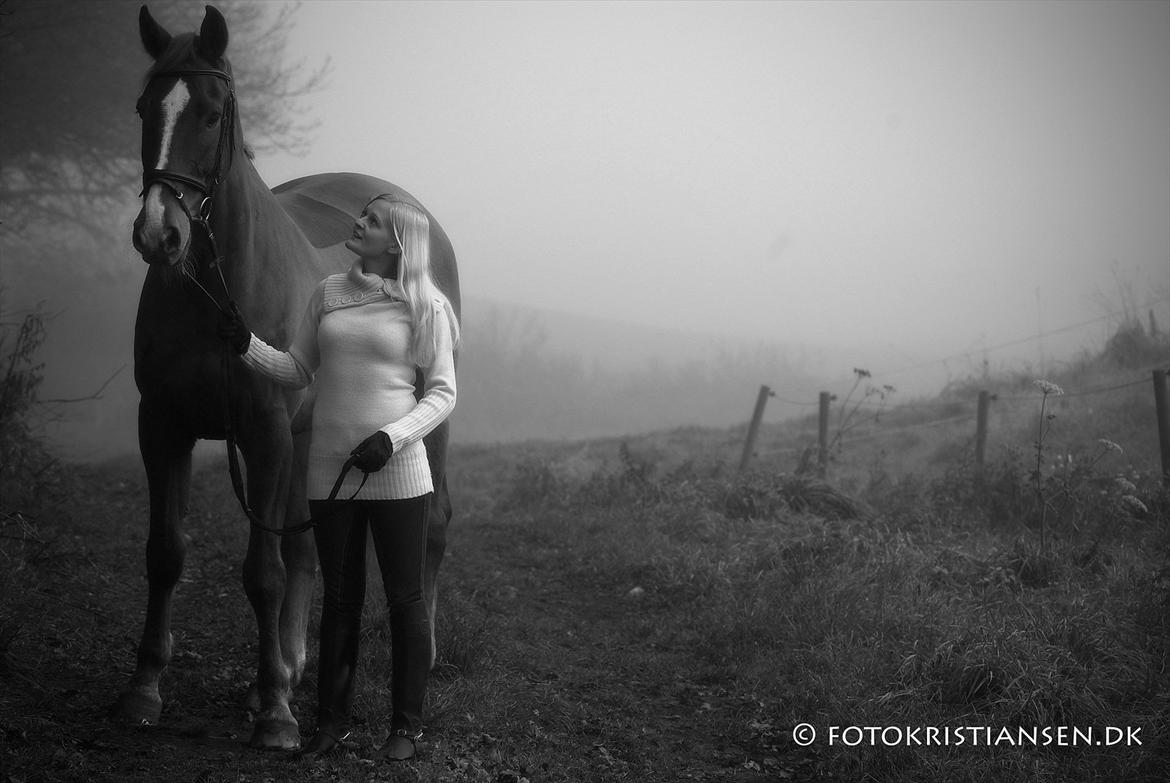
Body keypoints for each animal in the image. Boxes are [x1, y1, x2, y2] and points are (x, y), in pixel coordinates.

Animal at [115, 4, 460, 749]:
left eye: (212, 112)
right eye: (145, 107)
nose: (159, 234)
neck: (216, 288)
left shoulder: (265, 430)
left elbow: (263, 572)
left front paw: (276, 713)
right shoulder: (163, 425)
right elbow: (166, 553)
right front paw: (144, 688)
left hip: (417, 426)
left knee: (431, 523)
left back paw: (412, 655)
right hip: (309, 439)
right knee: (308, 545)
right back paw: (291, 667)